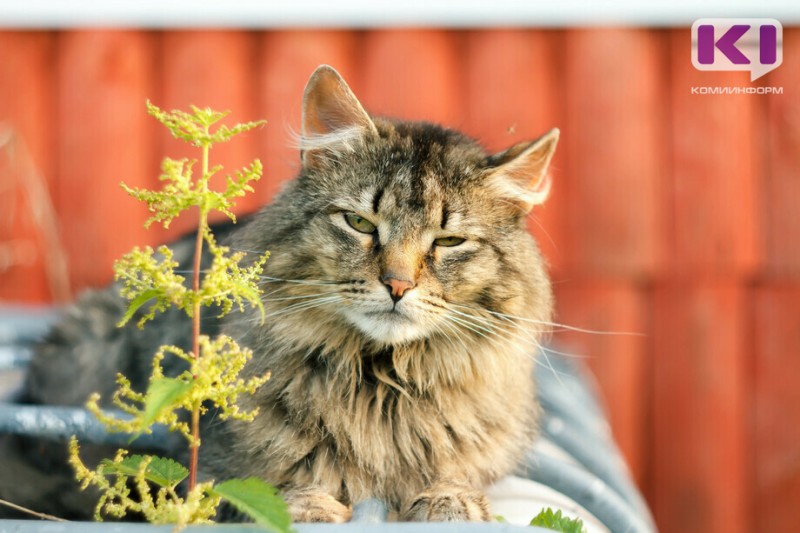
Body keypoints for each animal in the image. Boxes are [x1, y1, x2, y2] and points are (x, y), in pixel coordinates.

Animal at [3, 64, 560, 520]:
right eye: (360, 223)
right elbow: (278, 489)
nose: (398, 285)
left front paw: (450, 499)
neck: (381, 384)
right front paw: (311, 506)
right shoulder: (213, 473)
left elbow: (455, 475)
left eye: (448, 242)